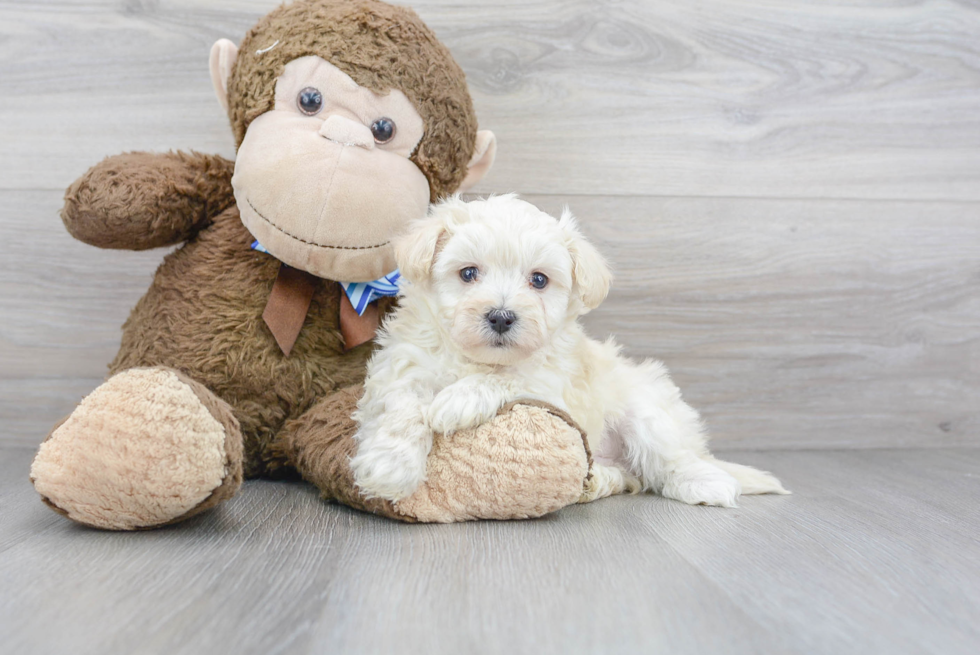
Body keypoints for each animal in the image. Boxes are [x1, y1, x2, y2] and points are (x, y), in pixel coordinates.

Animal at [352, 195, 788, 508]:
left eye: (539, 280)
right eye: (468, 273)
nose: (501, 317)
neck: (475, 358)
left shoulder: (551, 385)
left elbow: (508, 377)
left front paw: (458, 400)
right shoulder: (402, 366)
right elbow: (402, 409)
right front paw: (389, 466)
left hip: (648, 412)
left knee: (670, 460)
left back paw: (706, 483)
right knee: (629, 477)